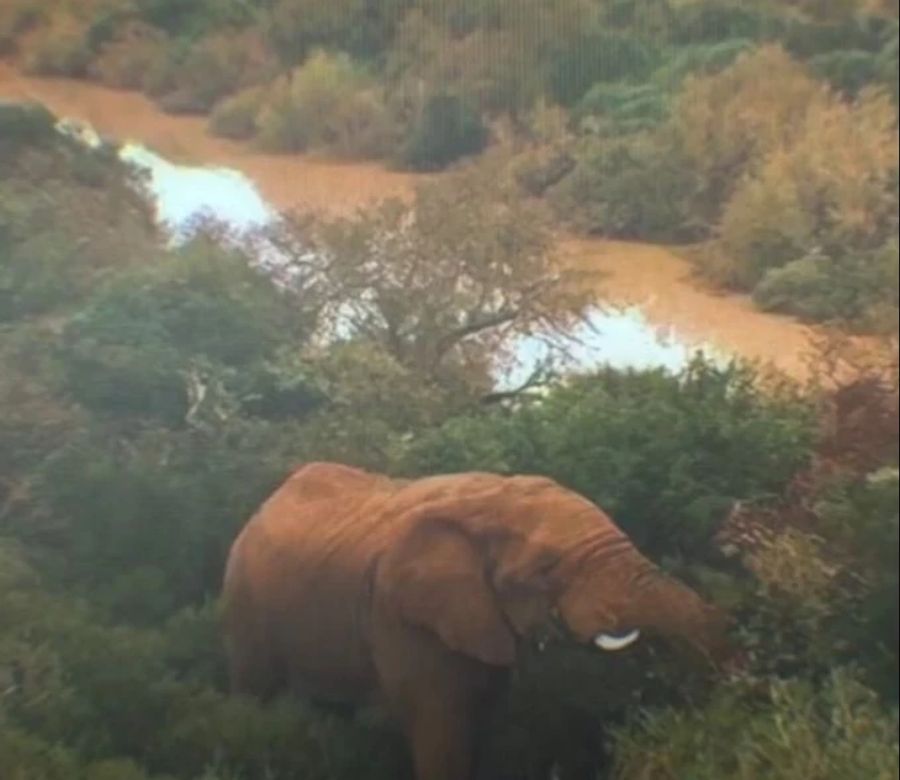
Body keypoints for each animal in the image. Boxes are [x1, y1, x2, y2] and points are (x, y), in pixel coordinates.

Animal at [221, 464, 736, 780]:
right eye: (546, 570)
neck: (493, 498)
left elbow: (483, 718)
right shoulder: (400, 614)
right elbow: (440, 727)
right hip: (244, 597)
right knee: (253, 693)